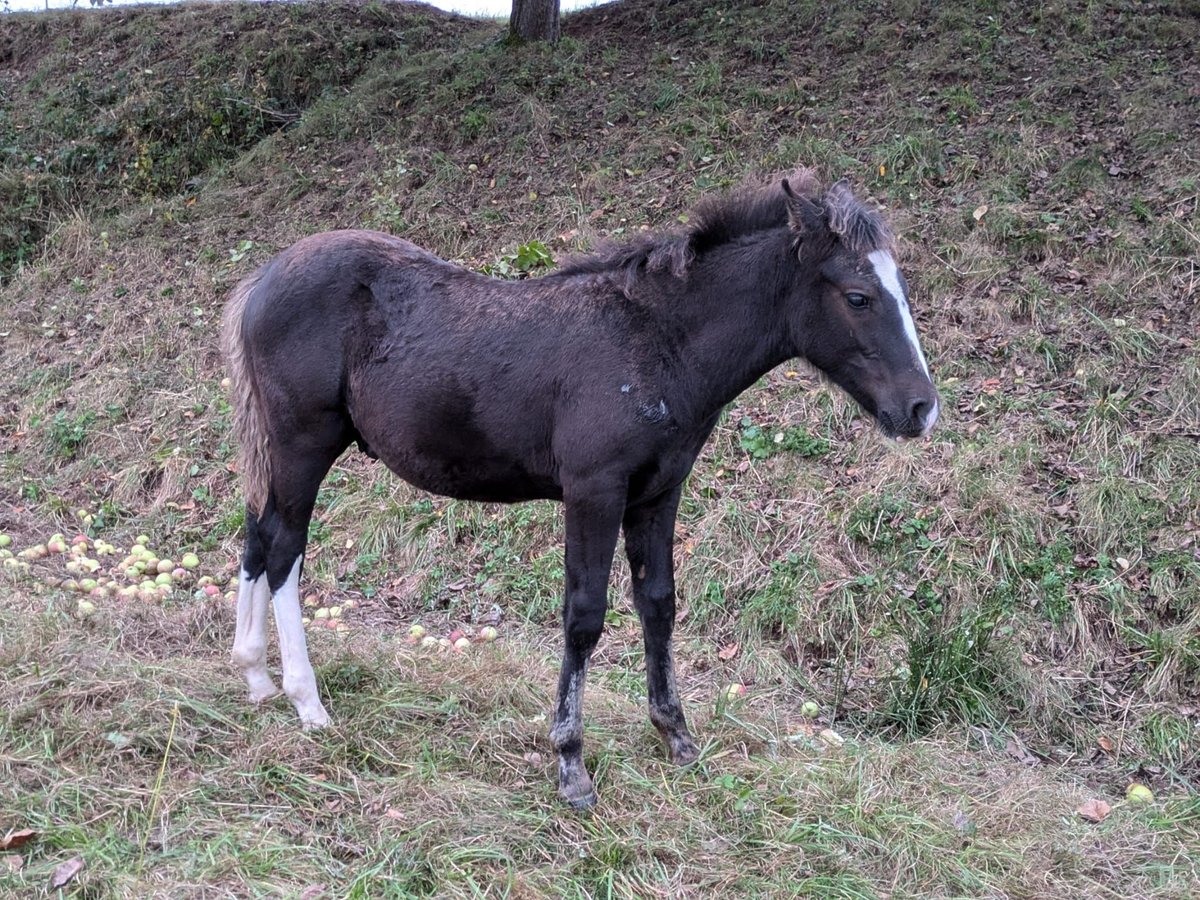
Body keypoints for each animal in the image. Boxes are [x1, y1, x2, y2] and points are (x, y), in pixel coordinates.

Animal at [223, 170, 936, 811]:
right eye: (858, 296)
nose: (921, 409)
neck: (657, 342)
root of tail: (264, 278)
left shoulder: (658, 493)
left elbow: (658, 603)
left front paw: (676, 736)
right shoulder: (594, 492)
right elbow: (585, 616)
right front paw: (571, 765)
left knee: (256, 536)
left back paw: (254, 676)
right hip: (303, 445)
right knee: (284, 549)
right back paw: (307, 703)